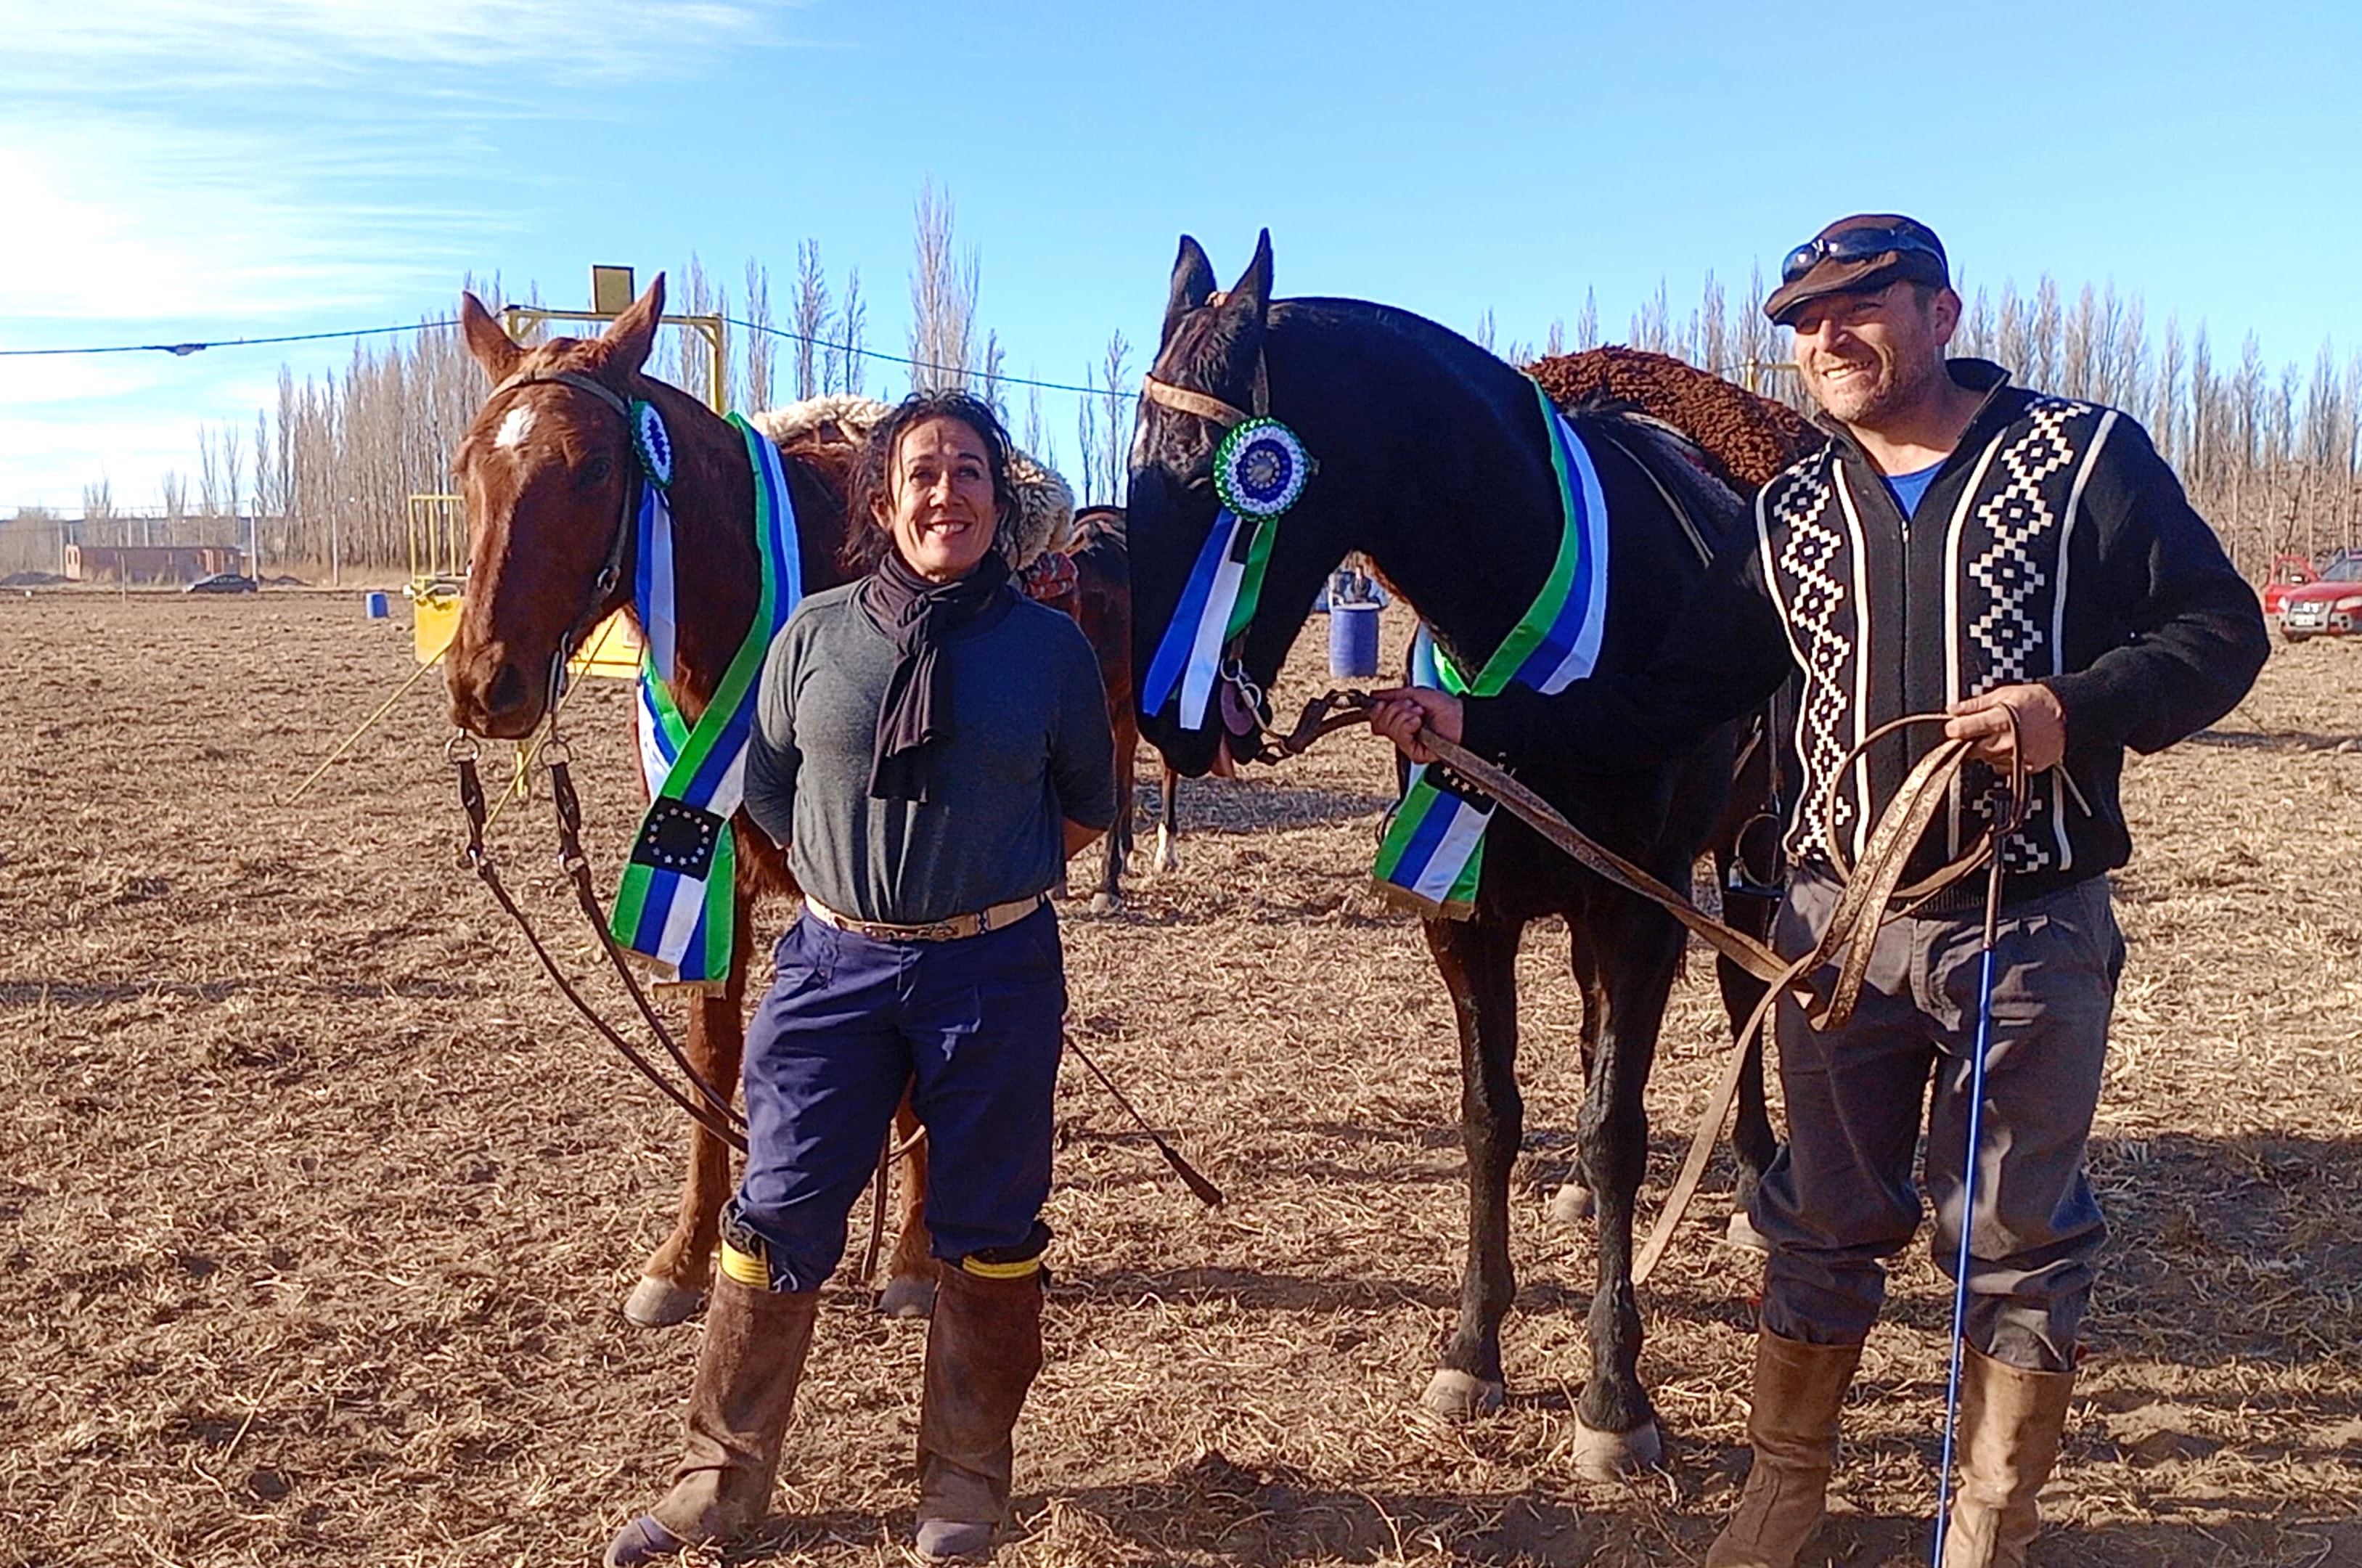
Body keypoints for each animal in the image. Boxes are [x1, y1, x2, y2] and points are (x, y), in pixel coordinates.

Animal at [1133, 230, 1776, 1473]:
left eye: (1210, 483)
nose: (1165, 721)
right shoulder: (1466, 913)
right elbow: (1491, 1120)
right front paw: (1473, 1349)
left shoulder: (1643, 911)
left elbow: (1617, 1129)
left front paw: (1613, 1396)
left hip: (1751, 852)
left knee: (1747, 990)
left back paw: (1762, 1187)